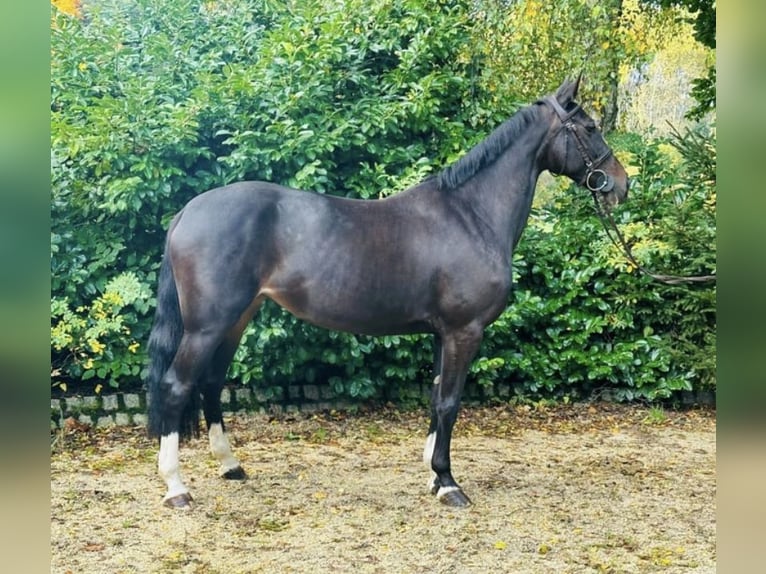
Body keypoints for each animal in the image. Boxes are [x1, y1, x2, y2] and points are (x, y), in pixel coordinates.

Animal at [146, 76, 629, 509]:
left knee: (210, 383)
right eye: (589, 127)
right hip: (208, 326)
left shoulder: (442, 334)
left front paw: (433, 476)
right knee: (176, 384)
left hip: (236, 319)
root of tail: (187, 211)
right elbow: (450, 402)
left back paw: (230, 466)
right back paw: (176, 488)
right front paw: (448, 484)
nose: (620, 185)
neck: (470, 214)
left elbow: (435, 398)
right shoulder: (464, 331)